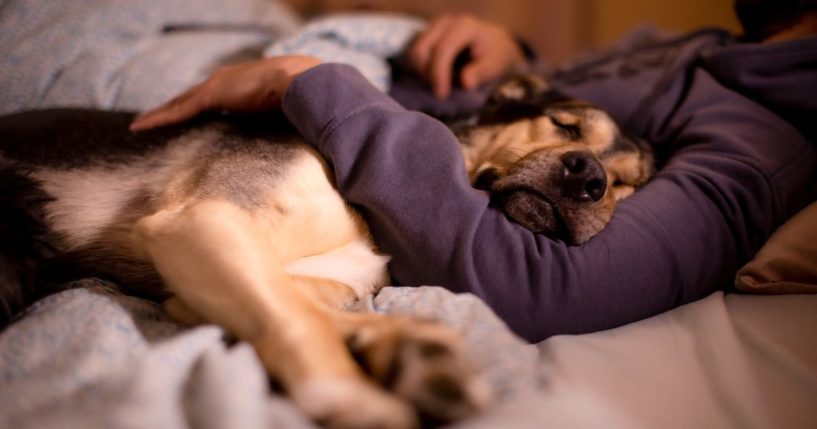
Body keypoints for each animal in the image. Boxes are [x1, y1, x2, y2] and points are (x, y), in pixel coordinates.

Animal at [0, 76, 652, 428]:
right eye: (563, 125)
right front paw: (352, 392)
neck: (371, 221)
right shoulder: (204, 219)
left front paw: (405, 349)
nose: (591, 179)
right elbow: (298, 319)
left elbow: (304, 305)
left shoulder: (204, 282)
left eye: (627, 185)